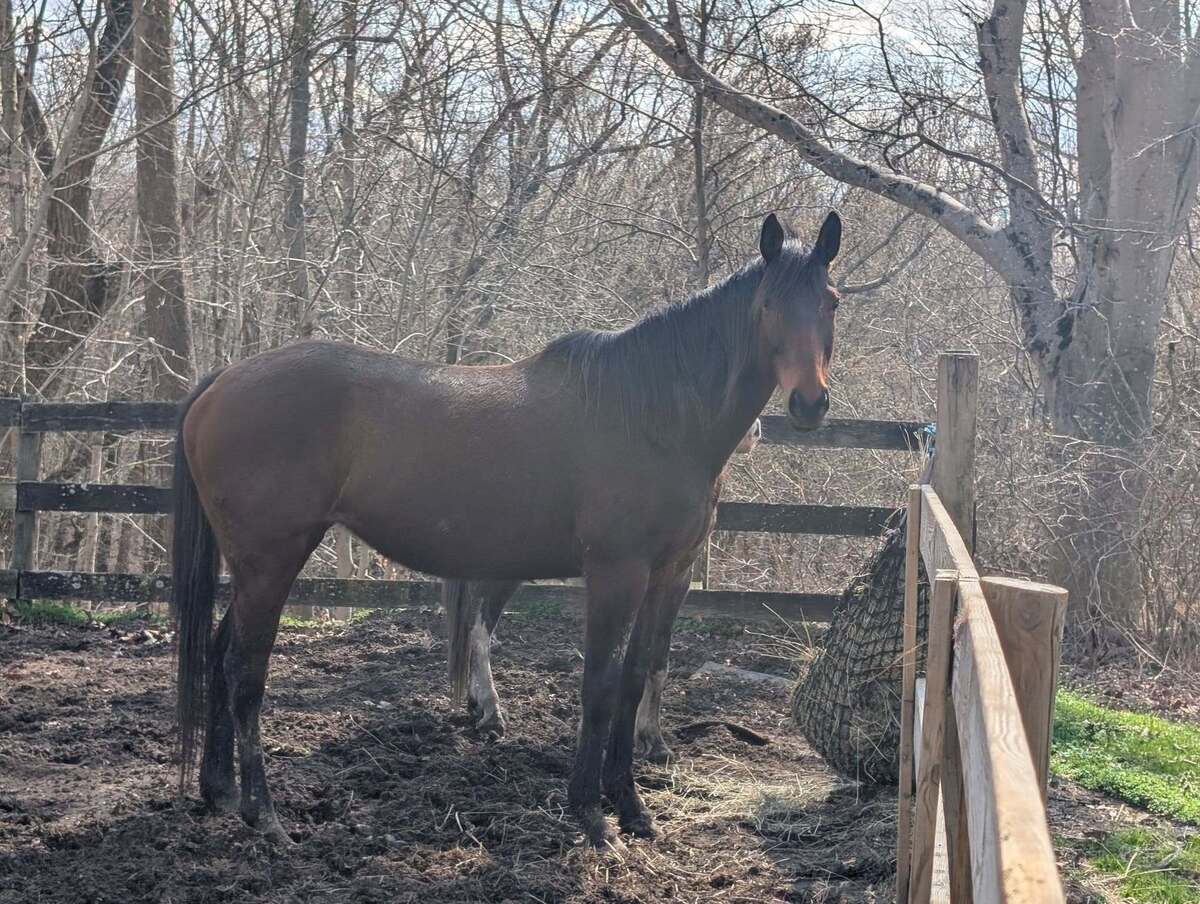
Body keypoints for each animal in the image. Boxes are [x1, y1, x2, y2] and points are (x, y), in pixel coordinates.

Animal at [442, 418, 763, 763]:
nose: (755, 432)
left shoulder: (677, 576)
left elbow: (655, 657)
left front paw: (652, 739)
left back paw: (478, 704)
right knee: (479, 626)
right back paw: (491, 713)